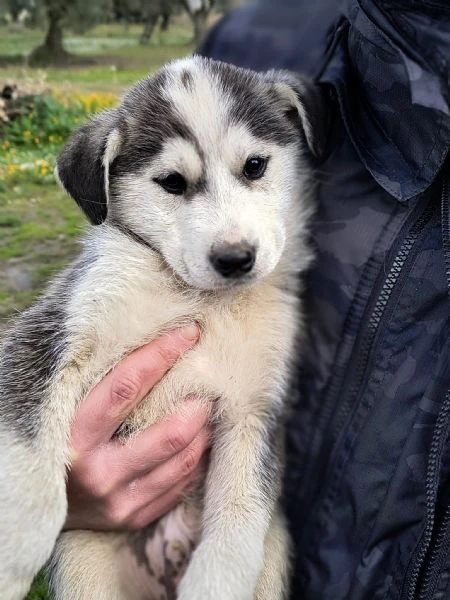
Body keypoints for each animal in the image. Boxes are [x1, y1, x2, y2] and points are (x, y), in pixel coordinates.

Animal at [0, 57, 326, 600]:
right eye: (172, 182)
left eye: (255, 166)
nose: (235, 258)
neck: (203, 306)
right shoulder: (49, 333)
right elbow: (27, 456)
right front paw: (15, 548)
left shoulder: (256, 408)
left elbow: (236, 526)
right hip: (82, 565)